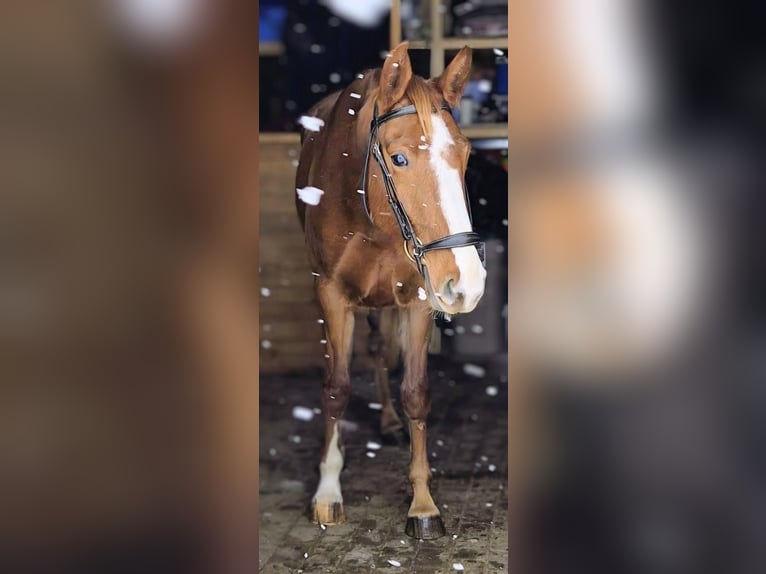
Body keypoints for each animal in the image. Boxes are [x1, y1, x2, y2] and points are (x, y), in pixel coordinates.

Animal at [294, 42, 487, 539]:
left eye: (466, 154)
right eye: (399, 159)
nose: (469, 284)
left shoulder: (419, 298)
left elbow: (416, 392)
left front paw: (422, 503)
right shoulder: (332, 296)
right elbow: (336, 387)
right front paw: (327, 491)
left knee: (382, 350)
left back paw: (387, 420)